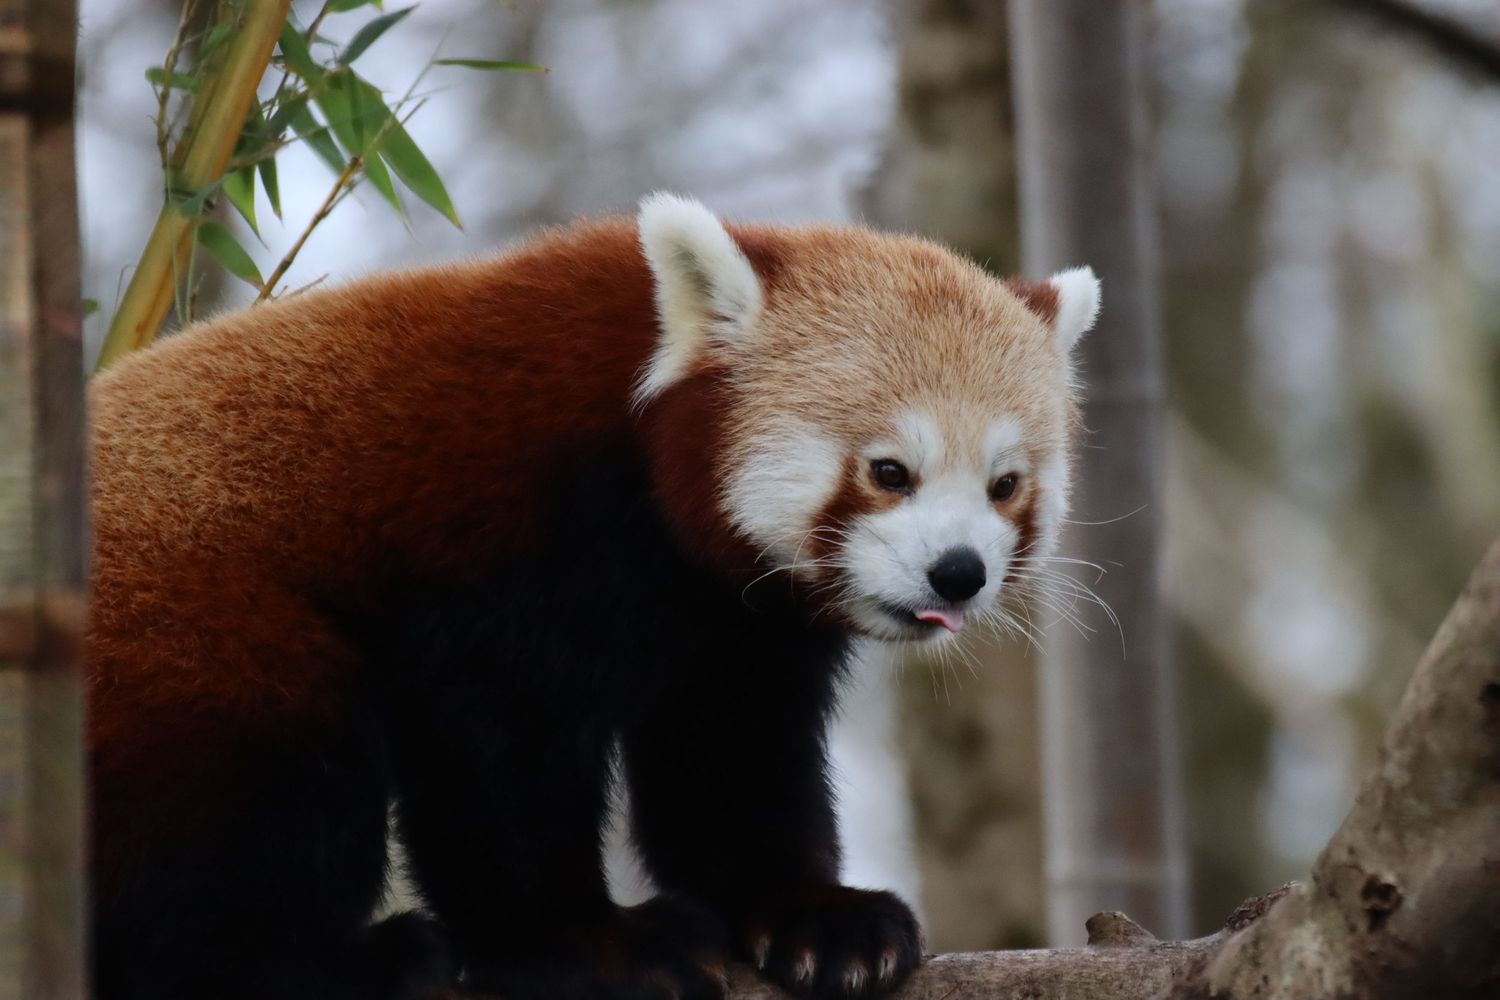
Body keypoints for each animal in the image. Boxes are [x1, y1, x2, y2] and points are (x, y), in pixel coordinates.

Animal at [86, 194, 1099, 1000]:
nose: (958, 572)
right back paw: (339, 964)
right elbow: (497, 751)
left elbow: (729, 757)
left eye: (1005, 486)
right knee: (269, 798)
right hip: (200, 634)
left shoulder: (734, 625)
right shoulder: (510, 534)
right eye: (890, 471)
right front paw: (589, 945)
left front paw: (817, 920)